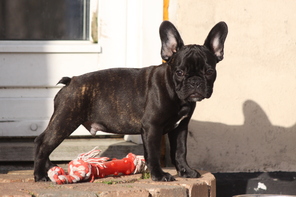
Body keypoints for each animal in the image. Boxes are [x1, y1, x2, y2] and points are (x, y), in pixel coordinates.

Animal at [35, 21, 229, 182]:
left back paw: (51, 169)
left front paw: (185, 171)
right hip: (65, 120)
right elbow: (153, 153)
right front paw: (159, 176)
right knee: (43, 144)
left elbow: (180, 151)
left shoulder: (180, 127)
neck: (172, 90)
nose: (195, 81)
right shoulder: (152, 127)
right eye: (180, 72)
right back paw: (40, 175)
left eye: (210, 71)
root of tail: (71, 81)